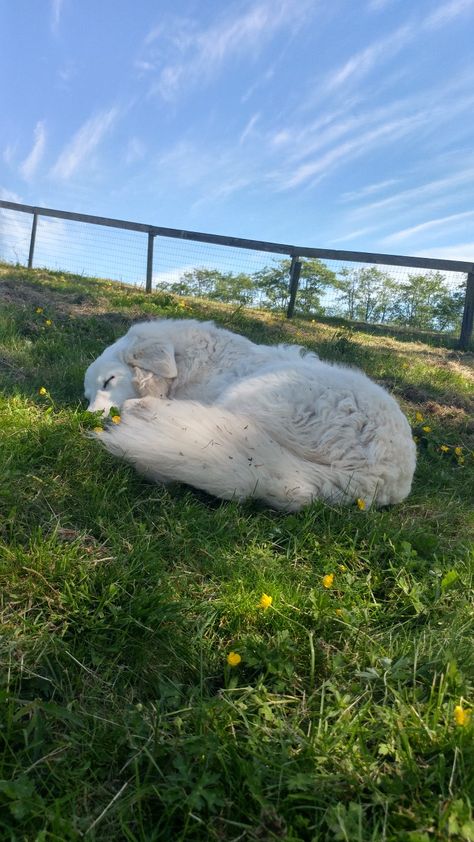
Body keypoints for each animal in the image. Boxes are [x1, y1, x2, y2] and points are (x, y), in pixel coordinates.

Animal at [84, 316, 414, 508]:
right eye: (87, 395)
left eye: (109, 380)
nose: (88, 417)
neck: (187, 363)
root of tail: (380, 476)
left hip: (247, 396)